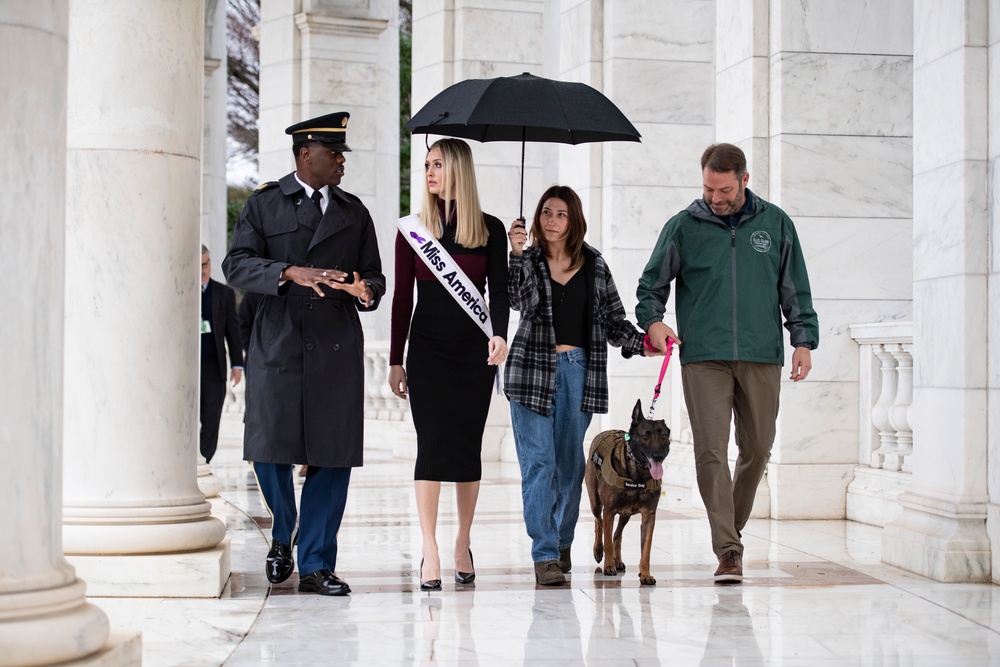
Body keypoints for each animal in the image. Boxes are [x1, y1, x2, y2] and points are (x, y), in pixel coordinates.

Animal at [584, 402, 672, 584]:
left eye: (664, 436)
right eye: (645, 436)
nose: (658, 456)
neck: (638, 474)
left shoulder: (649, 516)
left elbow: (646, 549)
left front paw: (645, 574)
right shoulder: (609, 511)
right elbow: (607, 539)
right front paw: (608, 565)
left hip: (626, 514)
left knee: (617, 534)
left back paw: (618, 561)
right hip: (595, 502)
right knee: (599, 522)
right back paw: (599, 551)